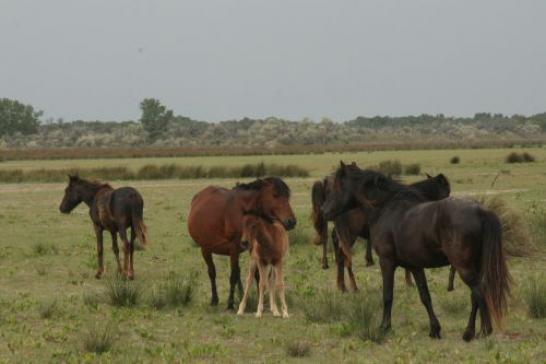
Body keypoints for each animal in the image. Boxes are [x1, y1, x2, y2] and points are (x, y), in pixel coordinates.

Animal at [188, 178, 298, 308]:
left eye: (287, 196)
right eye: (275, 195)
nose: (291, 221)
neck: (242, 212)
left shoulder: (252, 248)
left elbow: (257, 274)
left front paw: (260, 299)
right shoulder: (233, 248)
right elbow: (233, 276)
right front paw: (230, 303)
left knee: (238, 272)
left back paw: (241, 294)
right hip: (206, 249)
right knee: (212, 272)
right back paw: (215, 299)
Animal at [310, 173, 450, 292]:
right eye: (447, 191)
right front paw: (409, 282)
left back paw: (342, 286)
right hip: (349, 235)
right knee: (344, 256)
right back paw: (353, 286)